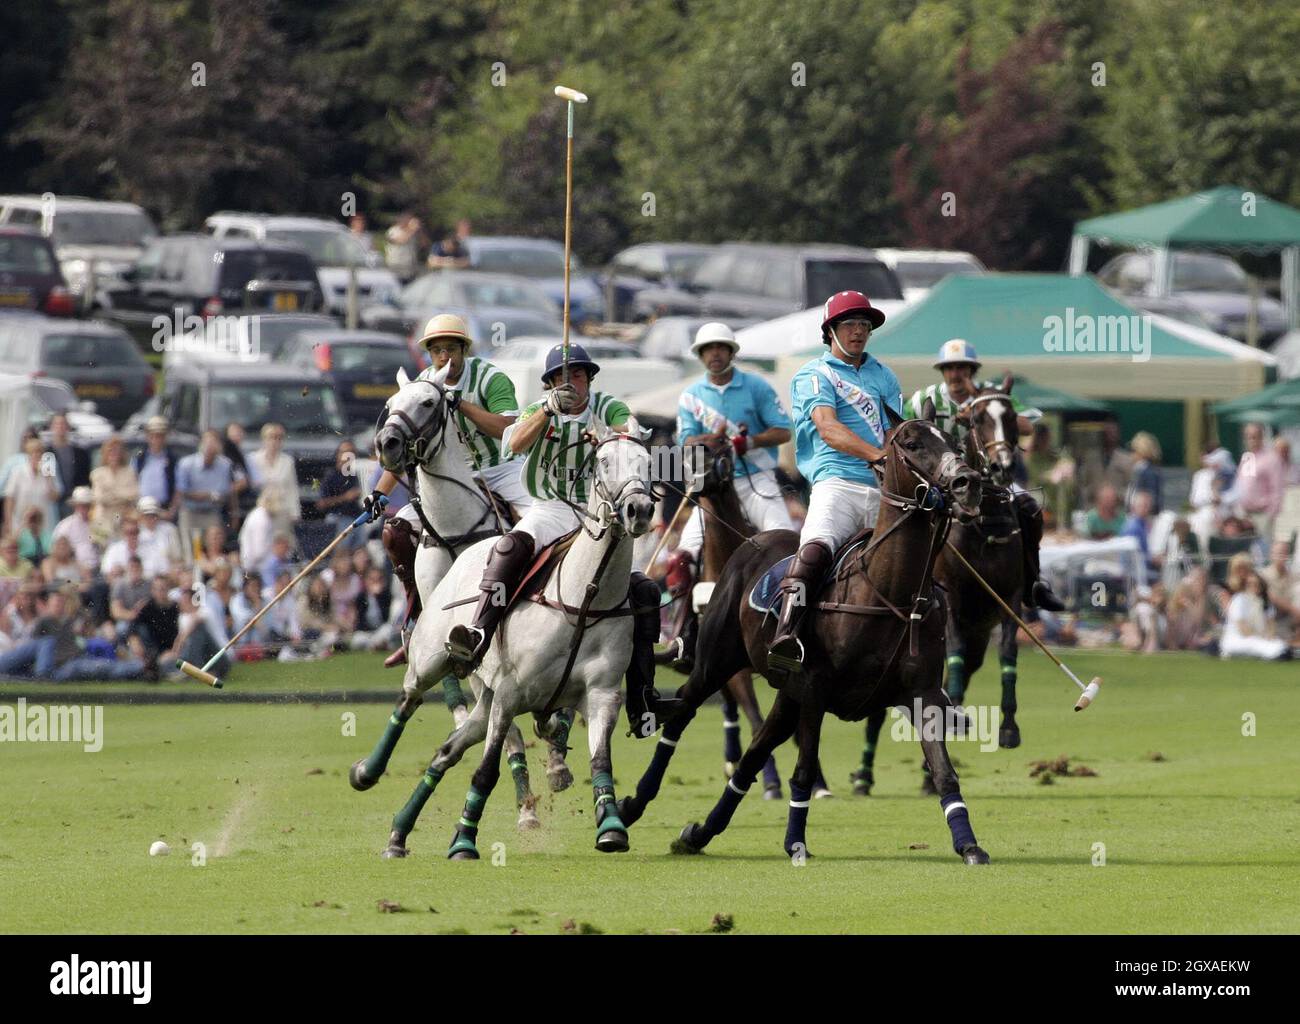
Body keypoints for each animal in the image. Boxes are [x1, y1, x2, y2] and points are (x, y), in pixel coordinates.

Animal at [624, 408, 987, 862]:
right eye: (911, 442)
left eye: (955, 442)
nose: (968, 482)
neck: (889, 593)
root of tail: (752, 542)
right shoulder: (815, 687)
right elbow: (803, 768)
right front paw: (795, 842)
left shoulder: (922, 694)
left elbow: (944, 773)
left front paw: (969, 844)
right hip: (717, 663)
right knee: (682, 716)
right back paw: (634, 804)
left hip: (786, 693)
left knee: (753, 754)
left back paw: (698, 834)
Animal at [852, 379, 1024, 795]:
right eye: (977, 419)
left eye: (1012, 417)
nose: (1001, 467)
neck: (985, 525)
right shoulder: (952, 598)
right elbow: (954, 657)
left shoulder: (1010, 598)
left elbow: (1008, 652)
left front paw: (1009, 729)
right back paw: (865, 774)